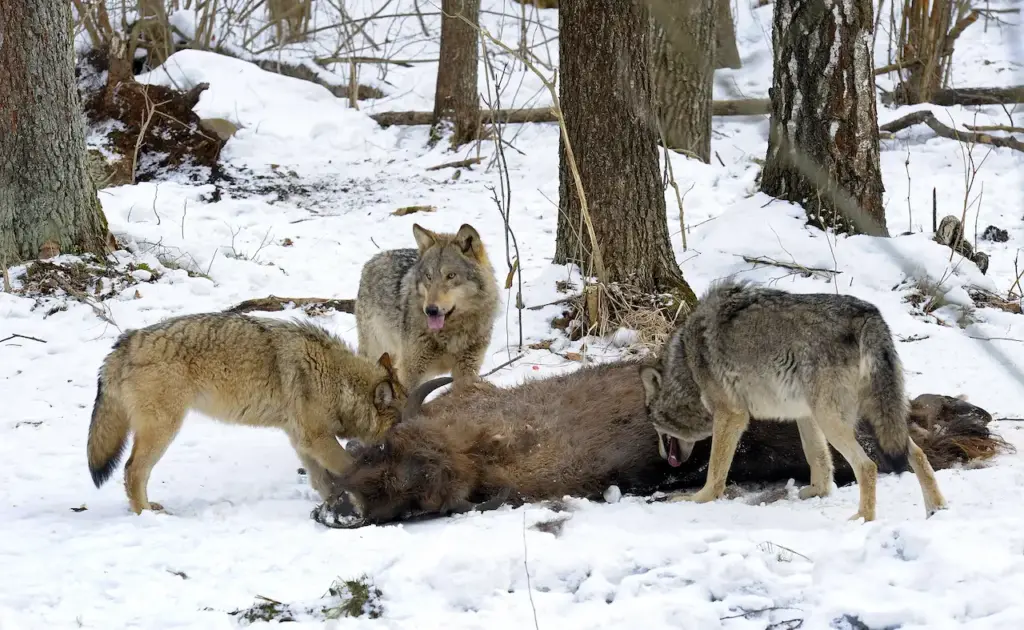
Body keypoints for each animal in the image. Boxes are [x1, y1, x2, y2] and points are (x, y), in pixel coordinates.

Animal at [352, 223, 499, 393]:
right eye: (428, 277)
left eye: (451, 276)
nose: (430, 310)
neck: (451, 336)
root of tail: (374, 258)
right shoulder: (411, 373)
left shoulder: (467, 373)